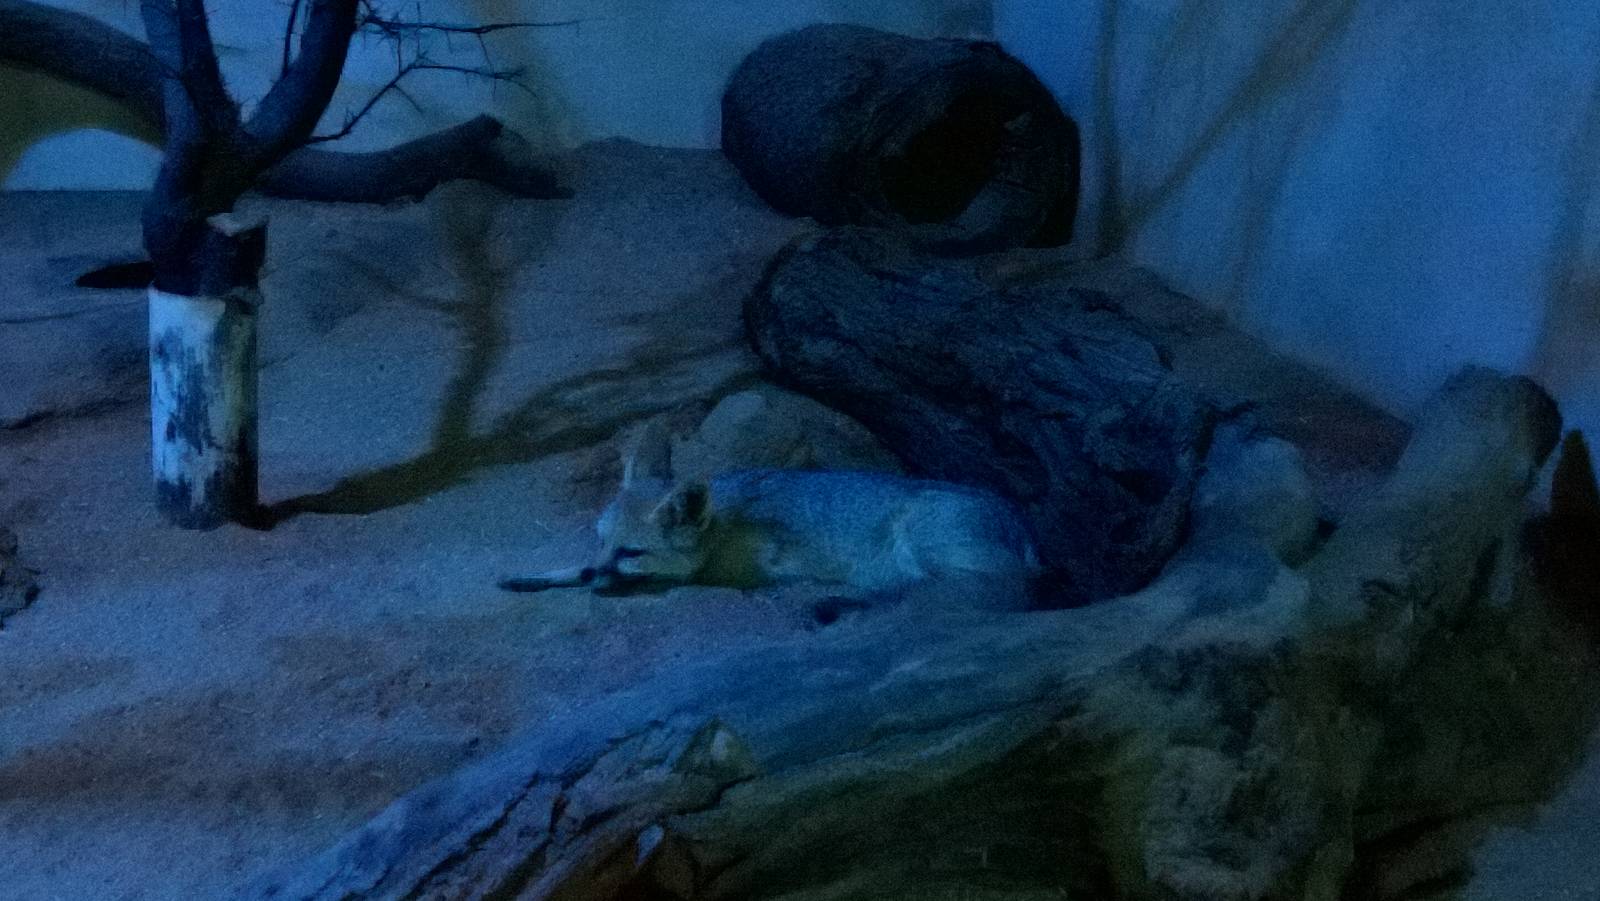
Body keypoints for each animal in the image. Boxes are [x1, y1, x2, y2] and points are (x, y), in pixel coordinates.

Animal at [498, 420, 1042, 611]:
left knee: (983, 594)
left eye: (632, 552)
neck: (723, 527)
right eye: (601, 540)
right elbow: (572, 567)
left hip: (922, 545)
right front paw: (538, 576)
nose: (595, 582)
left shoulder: (734, 576)